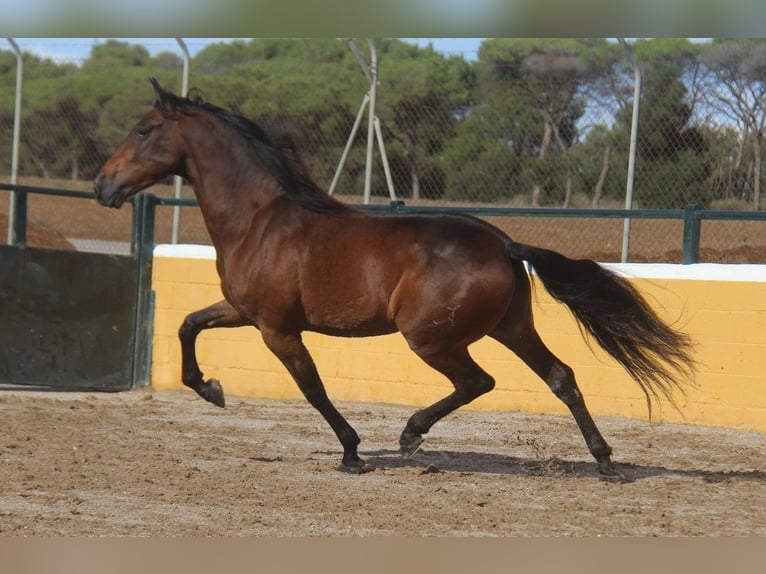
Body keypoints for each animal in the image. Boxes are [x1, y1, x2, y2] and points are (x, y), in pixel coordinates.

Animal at [94, 78, 695, 477]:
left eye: (144, 130)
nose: (103, 186)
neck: (260, 220)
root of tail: (504, 244)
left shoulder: (277, 329)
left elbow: (312, 388)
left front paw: (352, 453)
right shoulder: (243, 312)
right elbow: (188, 325)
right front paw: (211, 389)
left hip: (430, 337)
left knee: (478, 382)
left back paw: (411, 435)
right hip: (510, 327)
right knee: (561, 377)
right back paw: (605, 461)